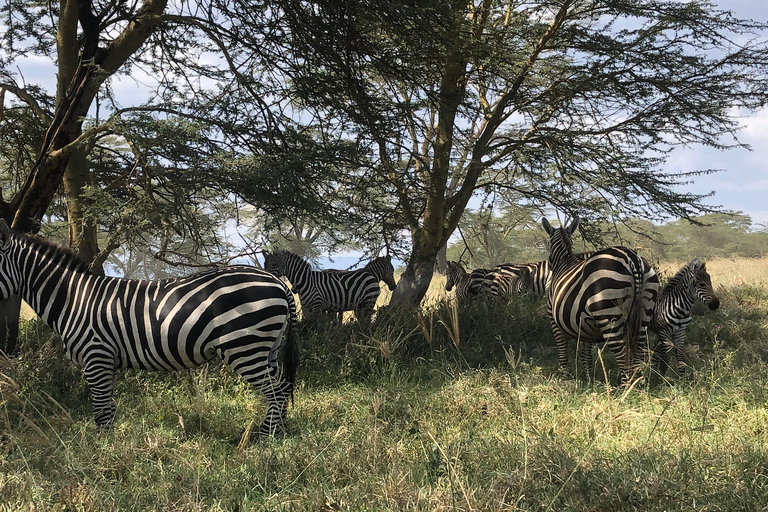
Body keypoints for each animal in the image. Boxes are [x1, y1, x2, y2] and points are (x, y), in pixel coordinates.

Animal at [0, 220, 300, 436]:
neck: (75, 299)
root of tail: (277, 281)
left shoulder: (96, 355)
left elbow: (101, 410)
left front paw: (103, 453)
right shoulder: (107, 360)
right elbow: (108, 408)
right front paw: (110, 448)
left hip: (244, 347)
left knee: (277, 392)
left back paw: (265, 440)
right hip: (267, 348)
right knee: (283, 387)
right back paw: (279, 434)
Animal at [540, 216, 660, 384]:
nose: (549, 263)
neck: (563, 262)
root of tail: (632, 257)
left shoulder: (554, 320)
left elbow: (563, 354)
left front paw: (564, 379)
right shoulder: (584, 326)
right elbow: (586, 356)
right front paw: (590, 381)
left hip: (607, 313)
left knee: (622, 354)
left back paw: (624, 389)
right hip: (644, 310)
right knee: (637, 351)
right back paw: (637, 384)